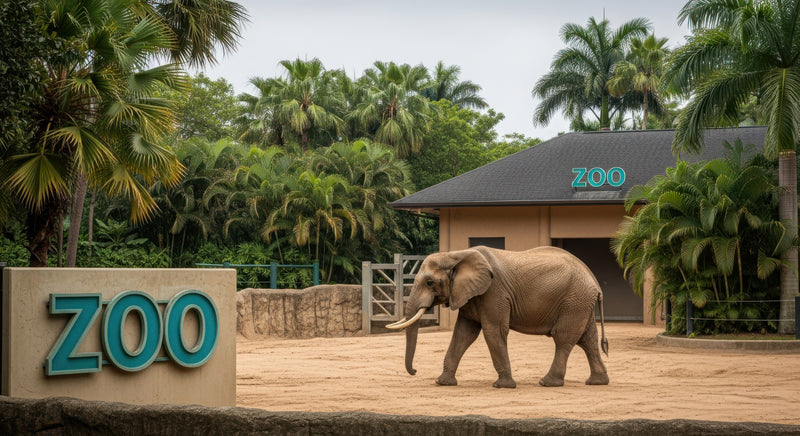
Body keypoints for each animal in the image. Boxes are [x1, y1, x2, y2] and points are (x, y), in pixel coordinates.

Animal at [385, 245, 609, 388]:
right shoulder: (471, 295)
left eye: (430, 282)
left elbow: (493, 330)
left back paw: (547, 383)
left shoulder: (494, 292)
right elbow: (464, 334)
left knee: (563, 338)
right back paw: (597, 382)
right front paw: (443, 383)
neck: (455, 254)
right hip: (581, 303)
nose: (415, 371)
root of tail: (594, 280)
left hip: (574, 301)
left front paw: (503, 386)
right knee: (587, 339)